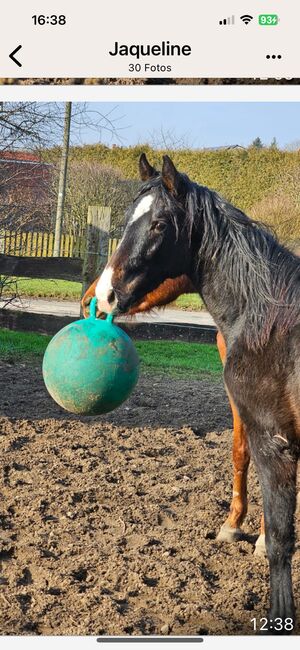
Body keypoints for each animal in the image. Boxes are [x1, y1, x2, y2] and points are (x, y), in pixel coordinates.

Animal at [82, 151, 300, 628]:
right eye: (128, 218)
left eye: (160, 225)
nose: (100, 296)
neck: (271, 321)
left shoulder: (273, 439)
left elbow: (280, 541)